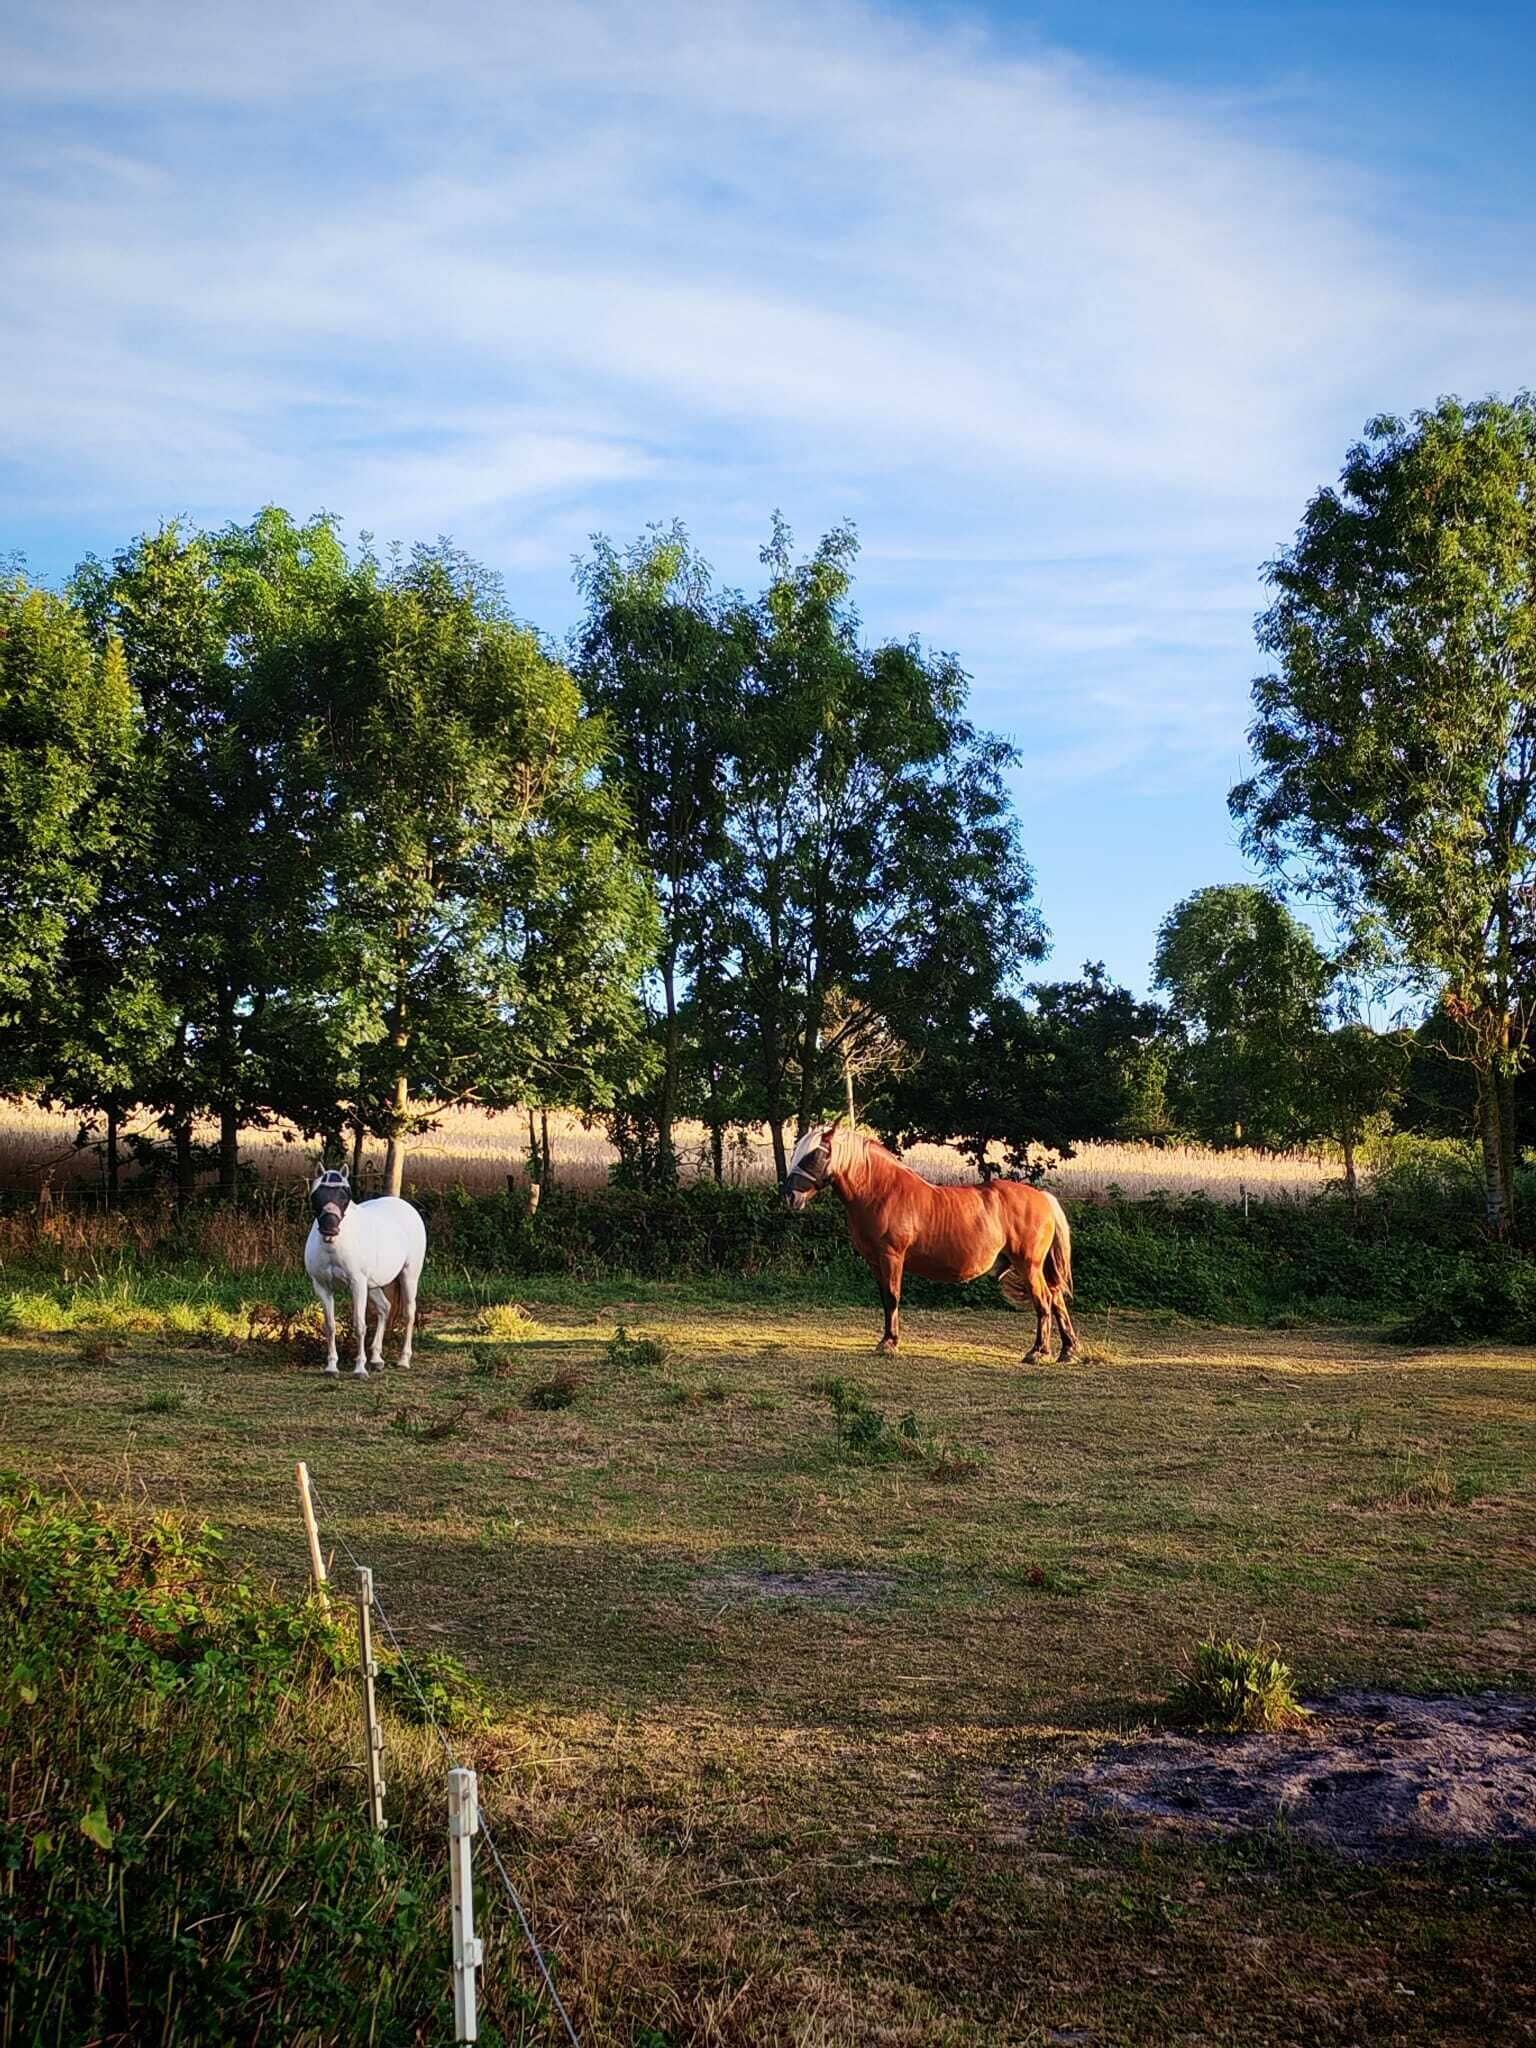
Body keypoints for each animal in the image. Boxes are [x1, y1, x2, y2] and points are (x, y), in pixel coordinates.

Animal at [304, 1169, 427, 1377]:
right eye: (316, 1193)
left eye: (345, 1194)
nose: (330, 1228)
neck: (334, 1248)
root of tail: (407, 1207)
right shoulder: (322, 1287)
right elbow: (330, 1326)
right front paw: (331, 1367)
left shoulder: (357, 1284)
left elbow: (359, 1325)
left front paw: (360, 1369)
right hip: (373, 1286)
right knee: (384, 1308)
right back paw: (377, 1359)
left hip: (409, 1276)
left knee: (409, 1313)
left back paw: (403, 1360)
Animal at [781, 1121, 1078, 1362]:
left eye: (814, 1155)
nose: (790, 1196)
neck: (882, 1192)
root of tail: (1043, 1198)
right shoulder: (875, 1262)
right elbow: (884, 1298)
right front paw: (885, 1340)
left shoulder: (892, 1257)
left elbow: (893, 1296)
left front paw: (890, 1344)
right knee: (1056, 1298)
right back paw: (1067, 1351)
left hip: (1029, 1265)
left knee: (1044, 1300)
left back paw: (1038, 1352)